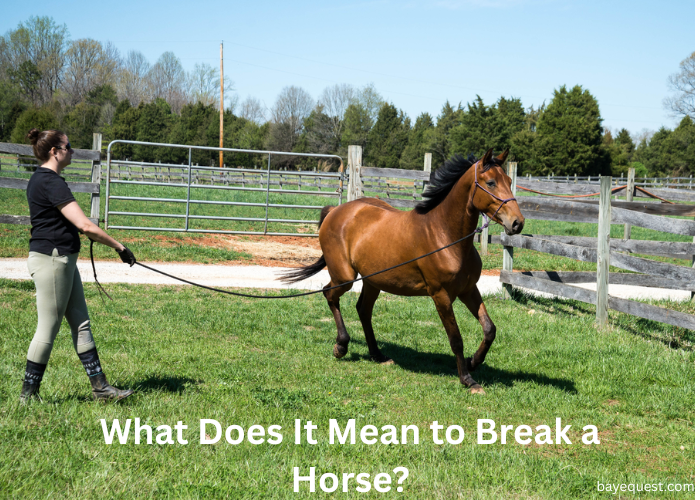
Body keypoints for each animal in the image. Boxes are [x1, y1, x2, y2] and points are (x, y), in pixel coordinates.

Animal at [281, 148, 524, 393]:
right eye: (491, 182)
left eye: (509, 181)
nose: (517, 223)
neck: (444, 235)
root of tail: (335, 211)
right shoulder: (441, 295)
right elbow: (456, 338)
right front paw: (468, 379)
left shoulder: (468, 290)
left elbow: (489, 329)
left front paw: (473, 362)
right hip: (345, 277)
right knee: (329, 294)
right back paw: (341, 346)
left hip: (372, 281)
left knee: (363, 310)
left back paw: (377, 355)